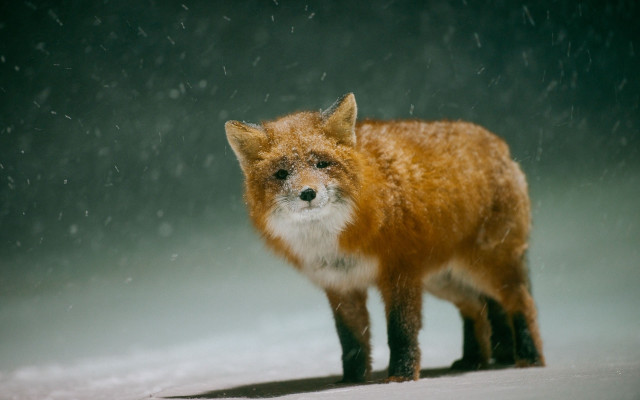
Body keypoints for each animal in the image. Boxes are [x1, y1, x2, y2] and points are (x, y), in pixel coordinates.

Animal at [225, 93, 544, 383]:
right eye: (281, 173)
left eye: (322, 164)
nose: (308, 193)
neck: (330, 240)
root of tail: (500, 145)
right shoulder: (340, 284)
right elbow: (351, 340)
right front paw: (352, 382)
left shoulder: (400, 273)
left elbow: (400, 331)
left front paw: (401, 377)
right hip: (444, 280)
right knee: (477, 308)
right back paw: (473, 361)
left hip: (485, 267)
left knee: (521, 302)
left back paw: (529, 358)